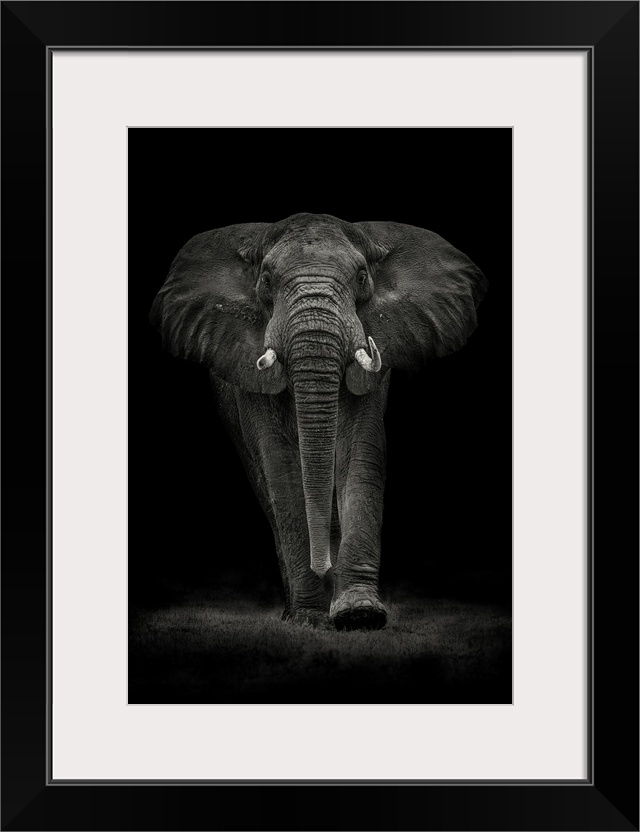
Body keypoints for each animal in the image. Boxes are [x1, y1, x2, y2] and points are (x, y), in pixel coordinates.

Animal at [149, 213, 484, 632]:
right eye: (266, 280)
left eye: (361, 276)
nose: (322, 565)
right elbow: (282, 468)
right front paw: (311, 619)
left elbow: (360, 455)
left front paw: (359, 614)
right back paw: (295, 611)